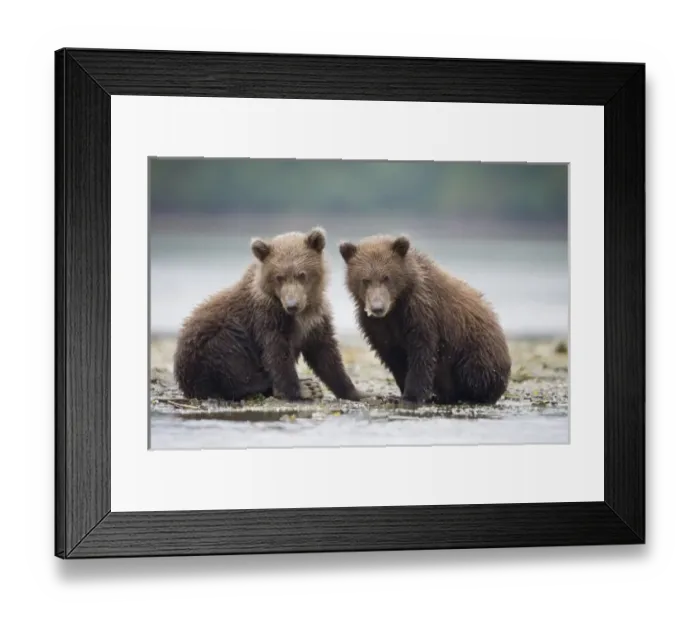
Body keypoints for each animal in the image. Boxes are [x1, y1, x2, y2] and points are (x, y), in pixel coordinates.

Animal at [173, 227, 364, 403]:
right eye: (279, 277)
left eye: (302, 274)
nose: (292, 305)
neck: (300, 313)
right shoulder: (267, 318)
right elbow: (277, 354)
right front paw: (300, 389)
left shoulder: (315, 319)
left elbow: (326, 354)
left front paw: (355, 392)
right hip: (208, 345)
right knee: (229, 358)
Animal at [339, 234, 511, 406]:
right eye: (365, 280)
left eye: (386, 277)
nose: (377, 308)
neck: (396, 307)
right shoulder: (377, 326)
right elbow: (393, 356)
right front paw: (400, 393)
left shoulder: (421, 313)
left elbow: (422, 354)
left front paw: (411, 397)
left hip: (475, 348)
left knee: (474, 374)